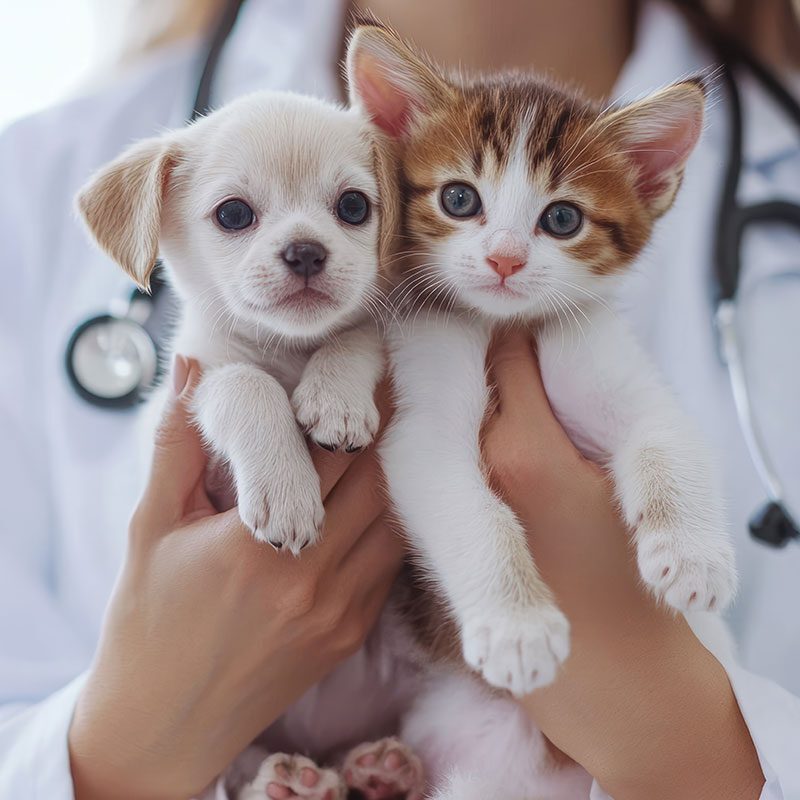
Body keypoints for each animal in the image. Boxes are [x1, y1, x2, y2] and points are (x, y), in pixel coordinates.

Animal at [76, 87, 396, 552]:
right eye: (233, 214)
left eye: (353, 206)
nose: (305, 251)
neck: (287, 349)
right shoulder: (190, 384)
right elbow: (245, 381)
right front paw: (286, 490)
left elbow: (358, 334)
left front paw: (336, 399)